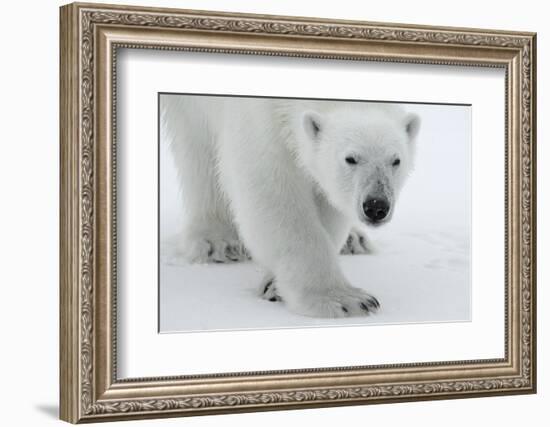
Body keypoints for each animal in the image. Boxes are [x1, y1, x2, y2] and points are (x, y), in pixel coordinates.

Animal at [162, 96, 420, 318]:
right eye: (350, 158)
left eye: (396, 160)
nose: (376, 205)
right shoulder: (256, 115)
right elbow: (270, 189)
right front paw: (343, 300)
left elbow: (325, 197)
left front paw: (275, 285)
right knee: (195, 139)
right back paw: (219, 241)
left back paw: (353, 240)